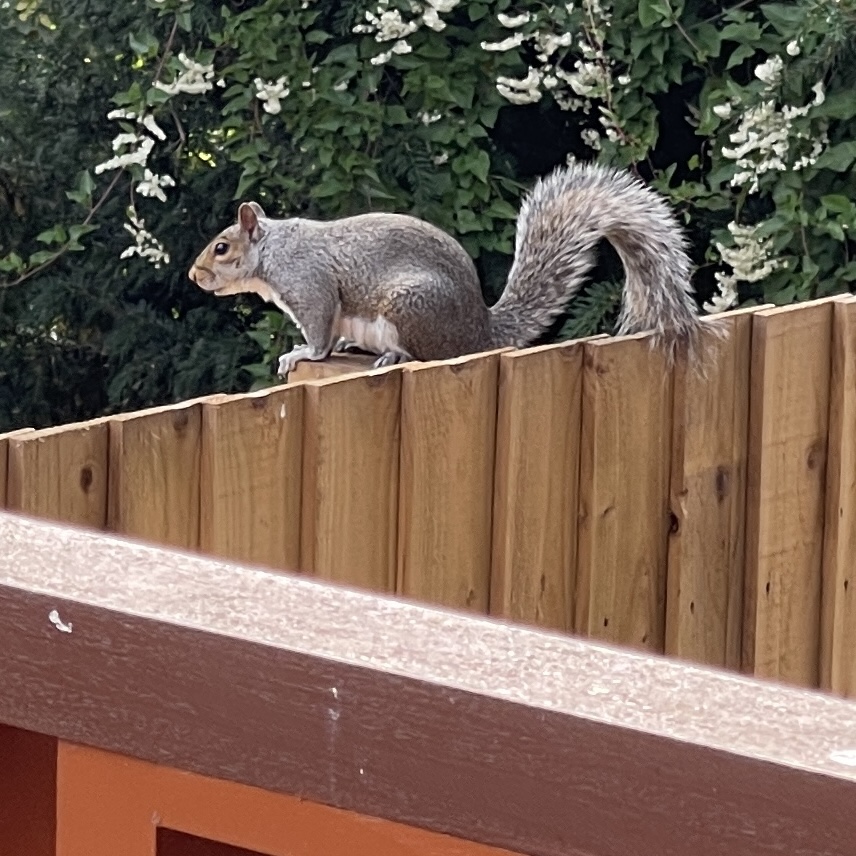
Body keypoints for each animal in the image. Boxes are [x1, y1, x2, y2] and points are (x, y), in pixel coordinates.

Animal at [191, 160, 712, 374]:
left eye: (221, 248)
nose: (194, 276)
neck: (274, 251)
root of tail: (479, 331)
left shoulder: (309, 285)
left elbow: (320, 333)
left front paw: (302, 354)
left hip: (411, 306)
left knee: (429, 356)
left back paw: (395, 357)